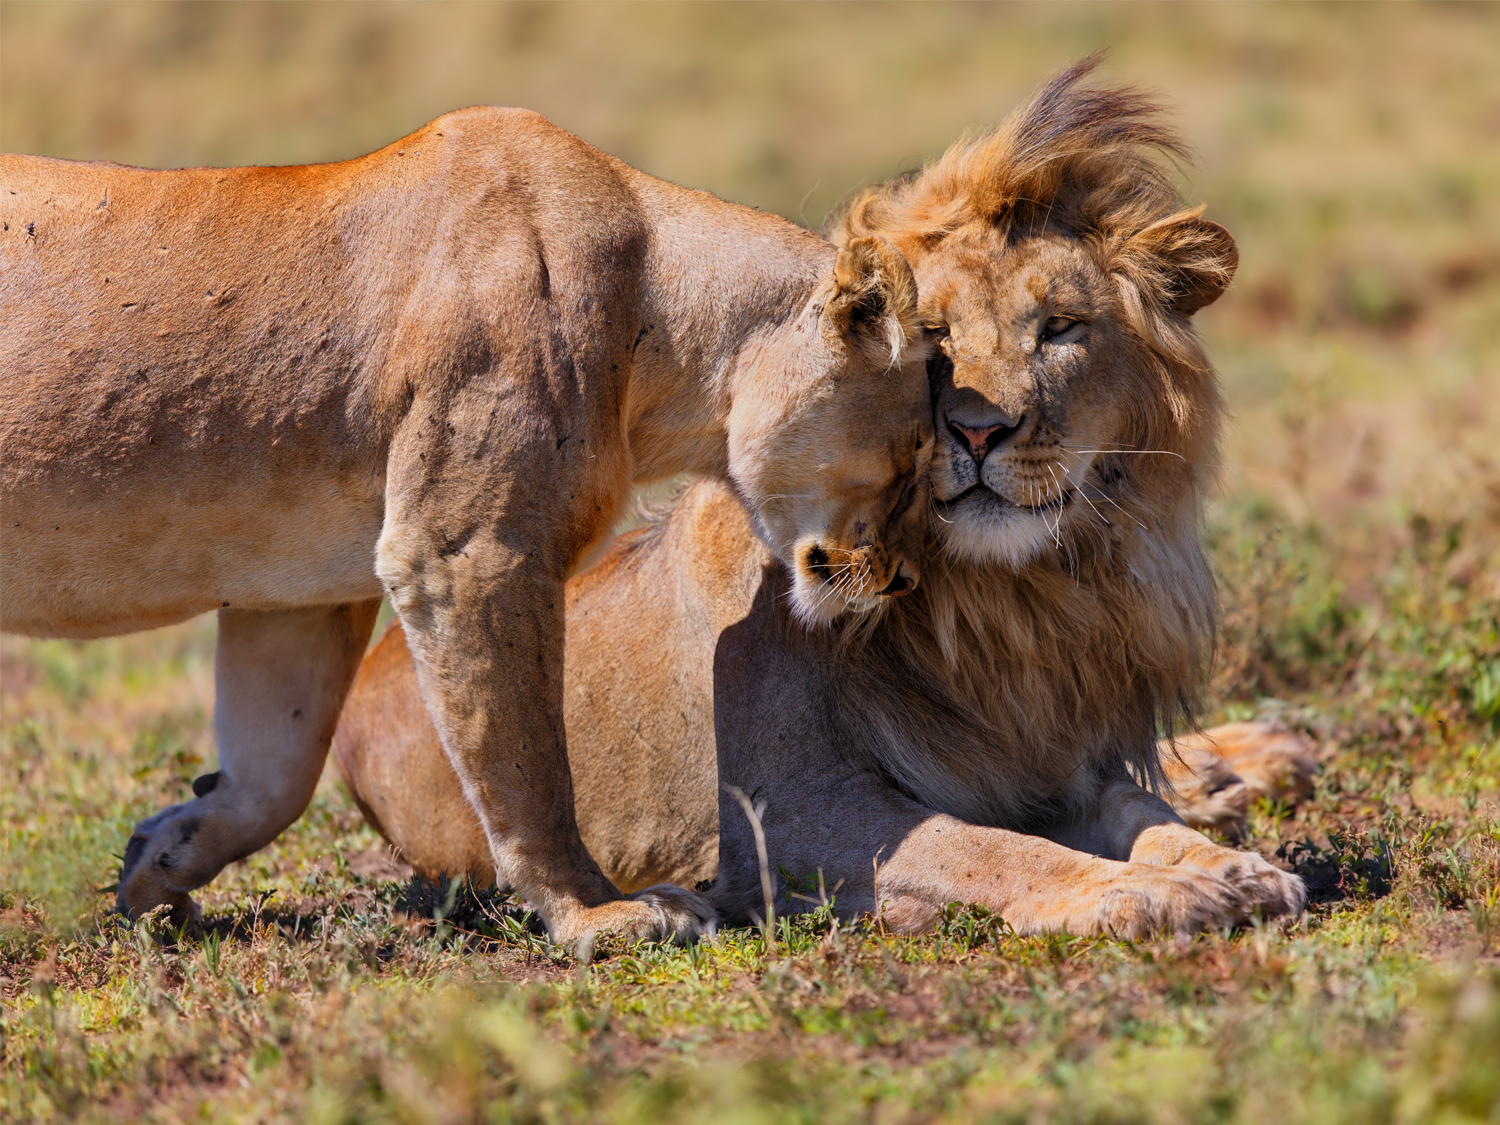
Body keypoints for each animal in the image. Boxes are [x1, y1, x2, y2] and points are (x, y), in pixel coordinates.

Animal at [2, 108, 936, 942]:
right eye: (917, 460)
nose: (903, 578)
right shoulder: (467, 555)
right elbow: (527, 760)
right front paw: (600, 912)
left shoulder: (296, 592)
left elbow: (275, 772)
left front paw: (158, 861)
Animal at [334, 63, 1308, 942]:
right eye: (935, 337)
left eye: (1062, 328)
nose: (978, 431)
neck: (1008, 604)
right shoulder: (786, 814)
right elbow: (988, 847)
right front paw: (1142, 892)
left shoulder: (1055, 761)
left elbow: (1143, 815)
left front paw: (1230, 866)